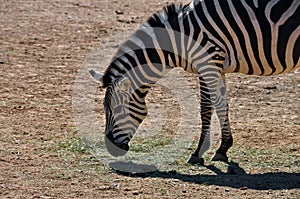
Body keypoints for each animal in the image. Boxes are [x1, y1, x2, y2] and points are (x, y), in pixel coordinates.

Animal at [89, 0, 300, 165]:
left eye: (115, 109)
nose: (111, 149)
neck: (180, 38)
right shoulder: (217, 66)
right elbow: (221, 105)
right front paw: (223, 149)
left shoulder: (207, 61)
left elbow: (206, 108)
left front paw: (198, 153)